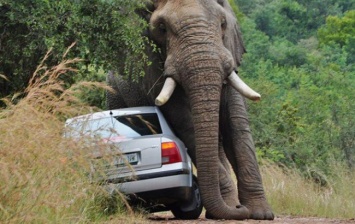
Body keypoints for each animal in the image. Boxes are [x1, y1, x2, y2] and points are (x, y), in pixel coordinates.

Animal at [108, 0, 276, 220]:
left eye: (223, 24)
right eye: (161, 29)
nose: (241, 208)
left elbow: (236, 122)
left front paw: (261, 214)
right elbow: (185, 122)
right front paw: (235, 209)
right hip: (114, 93)